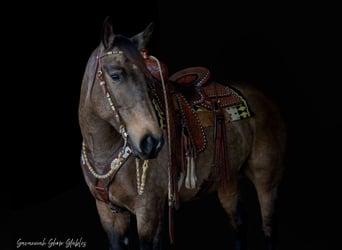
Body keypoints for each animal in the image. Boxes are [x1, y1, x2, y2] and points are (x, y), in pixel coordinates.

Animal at [77, 16, 286, 250]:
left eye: (148, 80)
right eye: (115, 76)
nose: (151, 142)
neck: (105, 152)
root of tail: (265, 99)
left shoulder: (148, 212)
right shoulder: (109, 214)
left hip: (267, 183)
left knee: (268, 228)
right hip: (228, 181)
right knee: (239, 223)